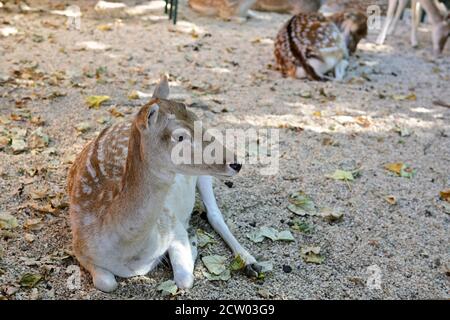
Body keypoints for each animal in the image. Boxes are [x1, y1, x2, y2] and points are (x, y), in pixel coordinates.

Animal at [68, 75, 262, 292]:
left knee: (214, 214)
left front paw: (192, 242)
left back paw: (250, 262)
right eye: (180, 136)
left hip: (203, 175)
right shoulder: (79, 248)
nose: (236, 163)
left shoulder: (173, 225)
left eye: (197, 119)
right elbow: (106, 282)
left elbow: (184, 279)